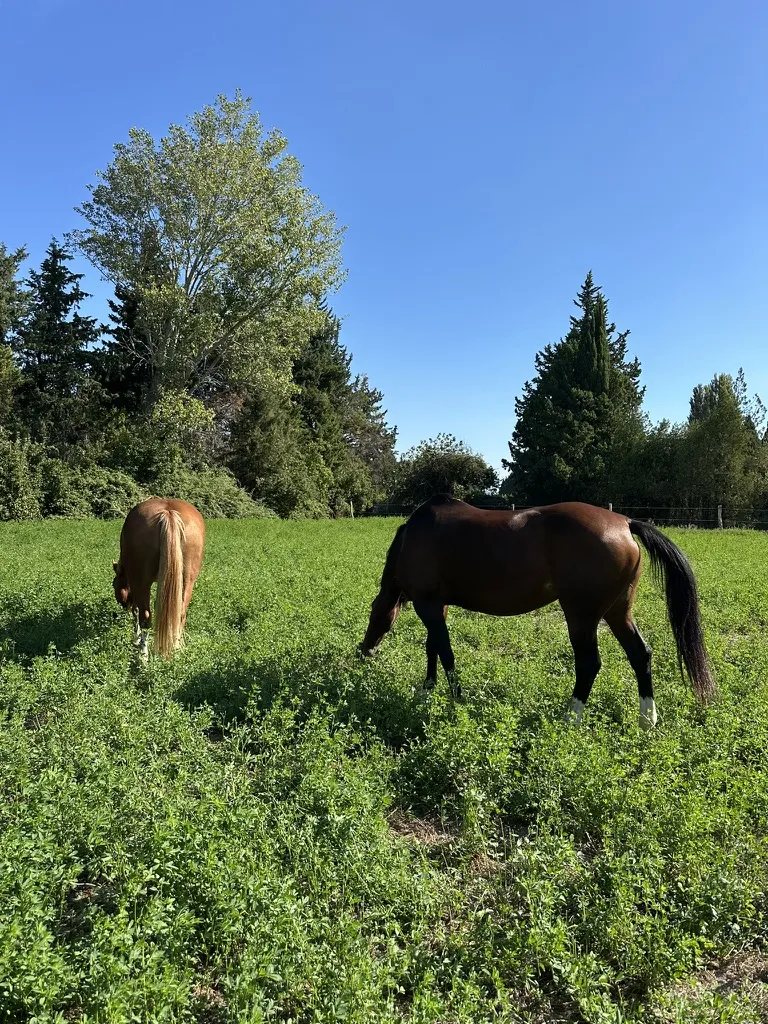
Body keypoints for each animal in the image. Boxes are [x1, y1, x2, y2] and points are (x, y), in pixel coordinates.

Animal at [112, 497, 205, 660]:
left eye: (114, 584)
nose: (122, 606)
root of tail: (168, 513)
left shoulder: (135, 583)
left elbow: (136, 610)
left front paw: (136, 639)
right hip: (187, 581)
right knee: (180, 613)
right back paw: (176, 648)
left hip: (141, 582)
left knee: (145, 616)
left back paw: (143, 655)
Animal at [359, 495, 715, 729]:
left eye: (373, 614)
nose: (365, 650)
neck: (414, 536)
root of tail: (625, 523)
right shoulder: (437, 606)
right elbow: (432, 646)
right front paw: (428, 689)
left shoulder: (428, 604)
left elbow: (444, 651)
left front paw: (456, 698)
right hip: (617, 612)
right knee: (640, 655)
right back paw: (647, 720)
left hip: (582, 616)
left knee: (589, 664)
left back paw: (570, 719)